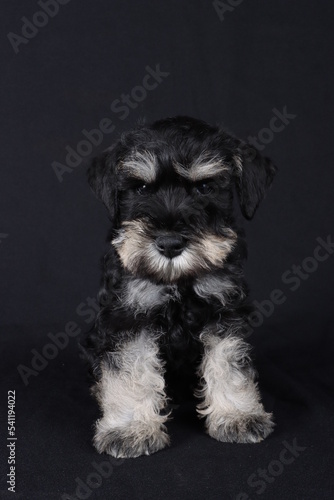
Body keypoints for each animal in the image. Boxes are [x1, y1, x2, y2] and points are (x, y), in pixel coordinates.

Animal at [83, 114, 276, 458]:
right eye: (141, 188)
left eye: (205, 187)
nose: (170, 243)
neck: (178, 282)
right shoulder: (130, 317)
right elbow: (132, 369)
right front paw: (130, 429)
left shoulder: (223, 312)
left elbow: (228, 365)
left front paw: (237, 416)